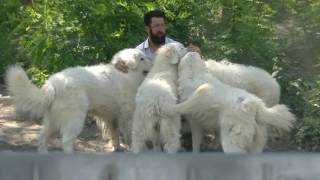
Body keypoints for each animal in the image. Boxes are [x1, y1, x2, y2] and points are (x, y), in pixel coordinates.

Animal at [5, 48, 151, 153]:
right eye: (142, 58)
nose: (153, 61)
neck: (128, 75)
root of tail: (53, 83)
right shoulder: (127, 115)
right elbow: (130, 134)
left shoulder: (111, 117)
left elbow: (115, 135)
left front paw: (118, 148)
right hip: (74, 118)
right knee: (66, 141)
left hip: (52, 120)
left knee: (42, 138)